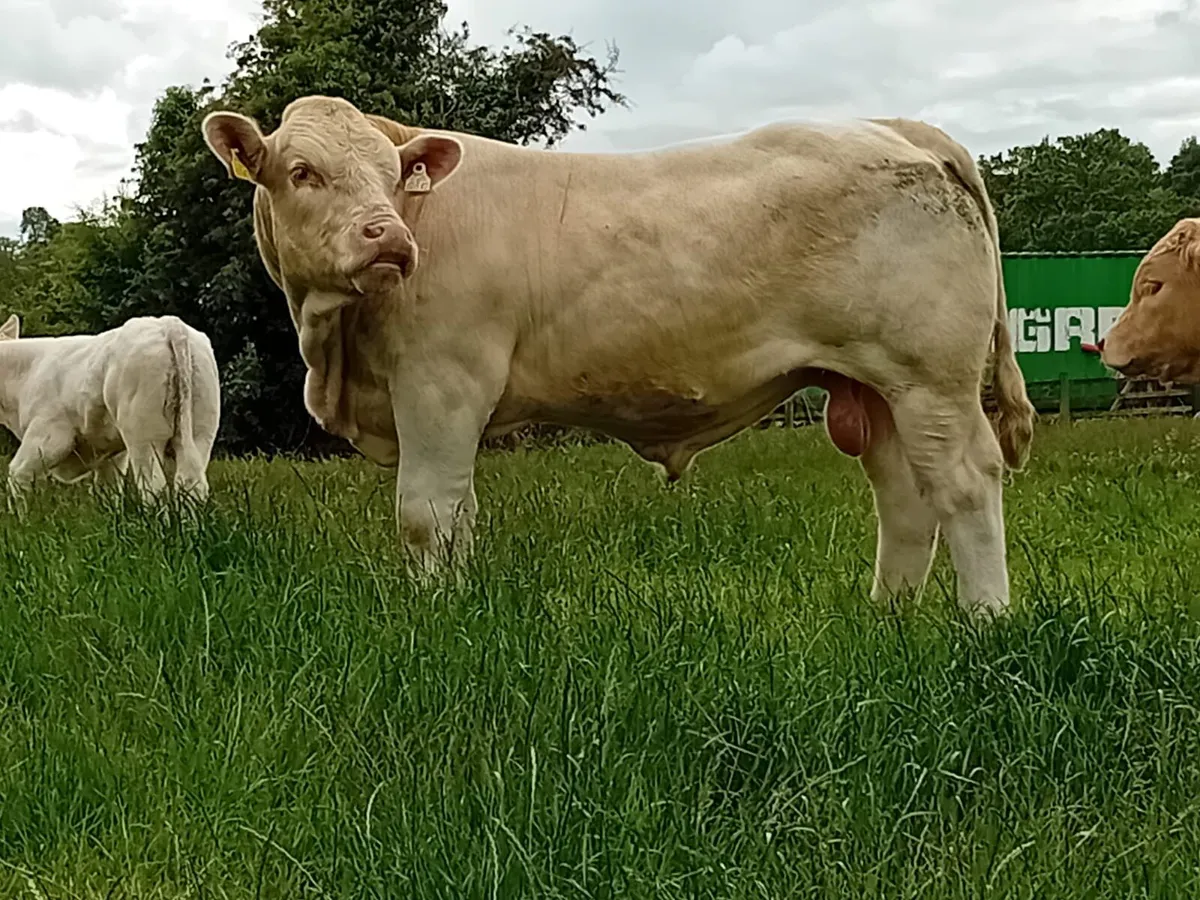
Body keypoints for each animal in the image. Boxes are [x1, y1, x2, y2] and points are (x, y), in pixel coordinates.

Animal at [0, 314, 221, 504]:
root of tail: (168, 324)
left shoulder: (48, 436)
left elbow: (18, 478)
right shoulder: (111, 456)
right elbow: (107, 491)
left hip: (144, 437)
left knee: (154, 488)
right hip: (201, 431)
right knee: (192, 485)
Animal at [201, 95, 1036, 619]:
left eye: (392, 176)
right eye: (302, 171)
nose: (391, 239)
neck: (338, 344)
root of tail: (893, 127)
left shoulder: (442, 384)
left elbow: (427, 515)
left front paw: (432, 617)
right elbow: (459, 517)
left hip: (931, 379)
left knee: (963, 484)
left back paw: (985, 623)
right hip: (875, 386)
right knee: (904, 499)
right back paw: (887, 618)